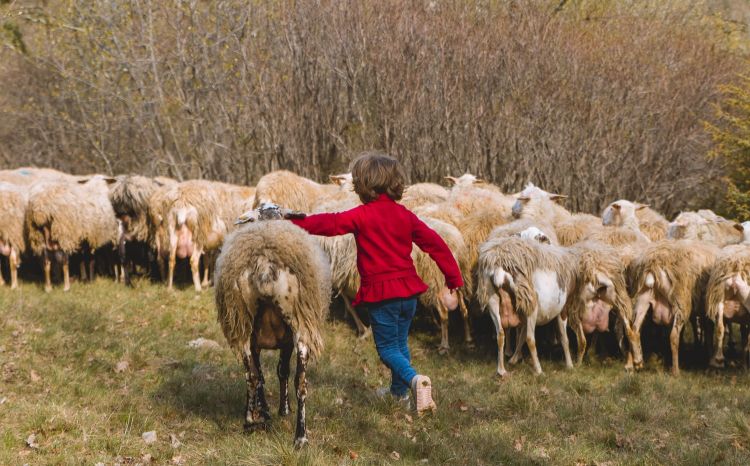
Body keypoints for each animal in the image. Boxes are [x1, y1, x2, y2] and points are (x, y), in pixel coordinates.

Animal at [212, 204, 328, 448]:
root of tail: (264, 265)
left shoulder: (258, 342)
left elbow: (263, 375)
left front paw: (264, 410)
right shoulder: (287, 342)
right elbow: (282, 371)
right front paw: (282, 409)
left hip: (242, 322)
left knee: (251, 375)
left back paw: (250, 420)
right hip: (300, 325)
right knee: (300, 382)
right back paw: (301, 436)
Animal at [478, 231, 580, 376]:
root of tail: (499, 266)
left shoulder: (523, 311)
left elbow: (520, 335)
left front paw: (514, 359)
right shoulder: (562, 309)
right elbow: (563, 337)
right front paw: (570, 365)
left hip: (492, 300)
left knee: (501, 334)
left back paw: (501, 370)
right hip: (531, 302)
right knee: (530, 338)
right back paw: (539, 370)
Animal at [628, 240, 724, 374]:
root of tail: (653, 265)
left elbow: (707, 329)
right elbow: (709, 330)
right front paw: (710, 356)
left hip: (642, 296)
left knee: (634, 329)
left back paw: (635, 363)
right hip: (681, 301)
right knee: (673, 336)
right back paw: (675, 370)